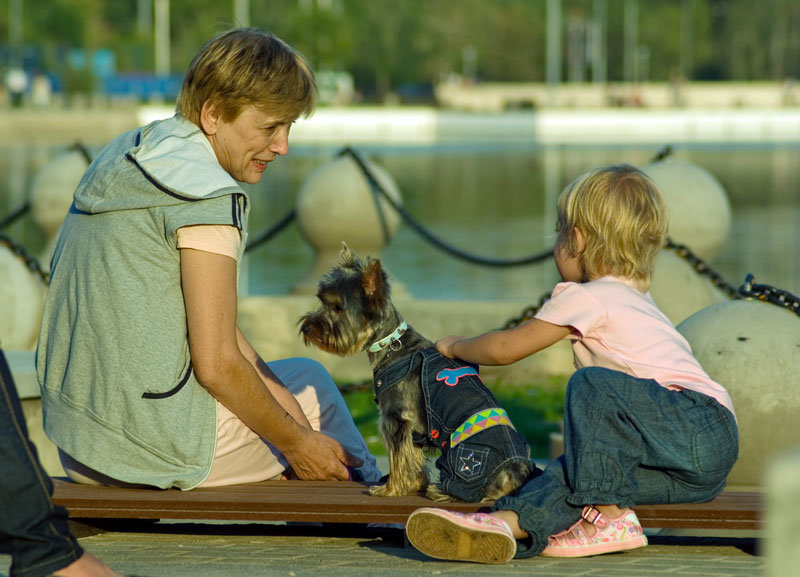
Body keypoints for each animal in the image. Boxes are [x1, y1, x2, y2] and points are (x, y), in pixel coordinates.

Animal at [296, 243, 536, 500]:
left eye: (338, 307)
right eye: (322, 302)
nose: (307, 327)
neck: (389, 343)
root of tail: (517, 475)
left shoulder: (395, 418)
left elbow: (398, 457)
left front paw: (390, 488)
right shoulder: (410, 428)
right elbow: (412, 458)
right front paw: (411, 485)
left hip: (465, 463)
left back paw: (438, 490)